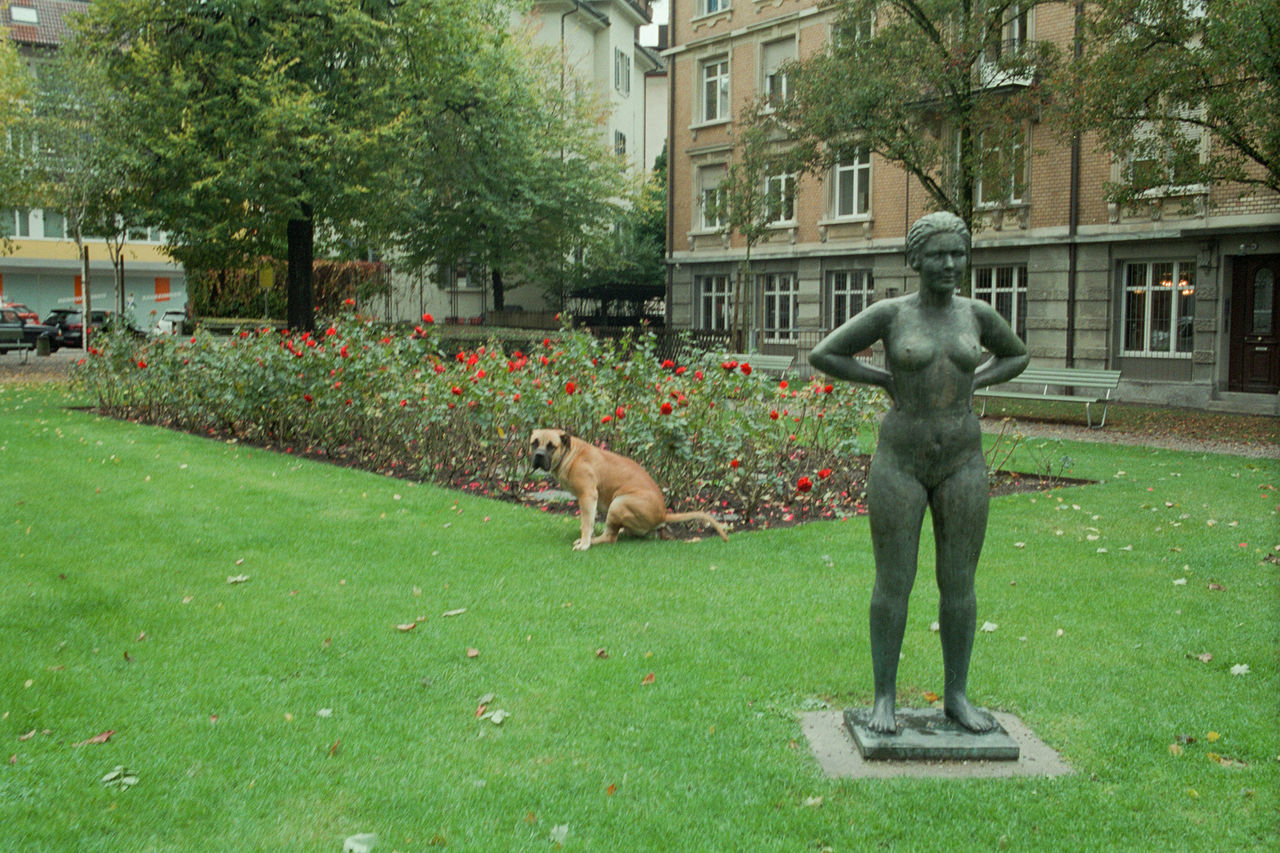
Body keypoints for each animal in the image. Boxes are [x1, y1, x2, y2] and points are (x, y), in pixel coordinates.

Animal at [529, 425, 732, 550]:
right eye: (534, 443)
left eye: (551, 446)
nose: (538, 455)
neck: (570, 454)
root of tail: (663, 514)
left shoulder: (588, 496)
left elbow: (586, 523)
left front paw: (585, 543)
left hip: (619, 503)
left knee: (611, 537)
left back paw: (594, 541)